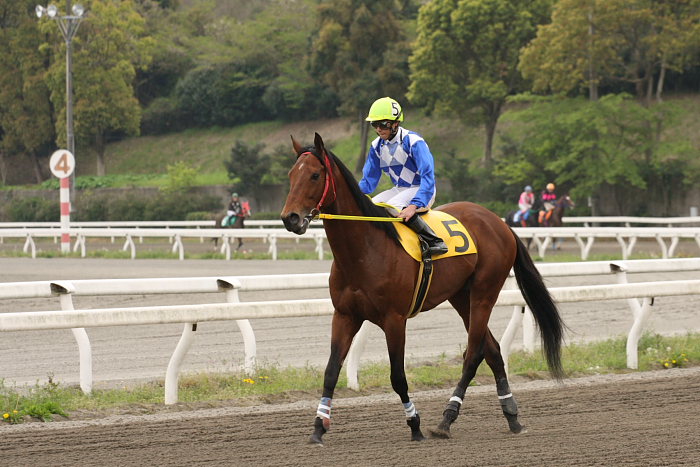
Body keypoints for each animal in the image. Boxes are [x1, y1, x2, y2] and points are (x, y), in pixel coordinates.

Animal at [278, 134, 564, 446]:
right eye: (291, 175)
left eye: (315, 175)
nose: (290, 218)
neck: (364, 251)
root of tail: (500, 223)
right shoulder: (345, 315)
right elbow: (331, 371)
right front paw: (318, 427)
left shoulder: (394, 319)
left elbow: (397, 376)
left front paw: (414, 424)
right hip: (461, 297)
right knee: (493, 350)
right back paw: (512, 416)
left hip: (484, 293)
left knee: (473, 354)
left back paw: (446, 419)